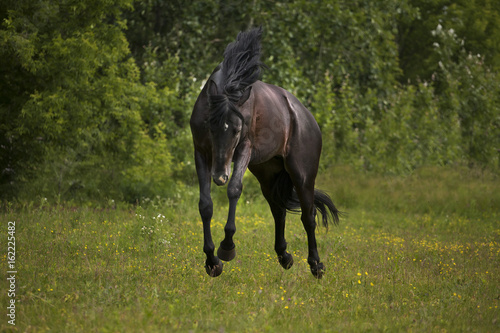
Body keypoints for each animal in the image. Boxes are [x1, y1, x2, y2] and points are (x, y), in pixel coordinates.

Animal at [190, 27, 340, 278]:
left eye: (237, 129)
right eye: (210, 126)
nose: (219, 176)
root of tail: (305, 116)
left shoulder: (244, 149)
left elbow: (234, 190)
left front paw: (227, 248)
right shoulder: (201, 153)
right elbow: (205, 205)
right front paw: (212, 261)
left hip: (302, 175)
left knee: (308, 216)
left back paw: (316, 265)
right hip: (268, 174)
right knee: (278, 211)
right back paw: (285, 256)